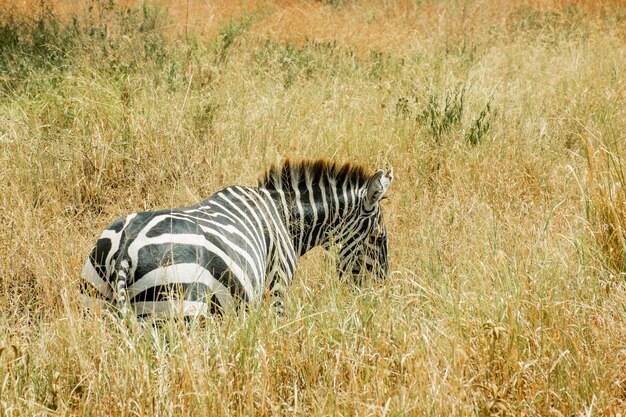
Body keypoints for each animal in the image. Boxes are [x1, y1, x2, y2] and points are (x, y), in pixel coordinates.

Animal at [78, 160, 390, 318]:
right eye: (378, 238)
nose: (380, 293)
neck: (284, 215)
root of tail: (125, 250)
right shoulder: (278, 284)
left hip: (95, 304)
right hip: (183, 309)